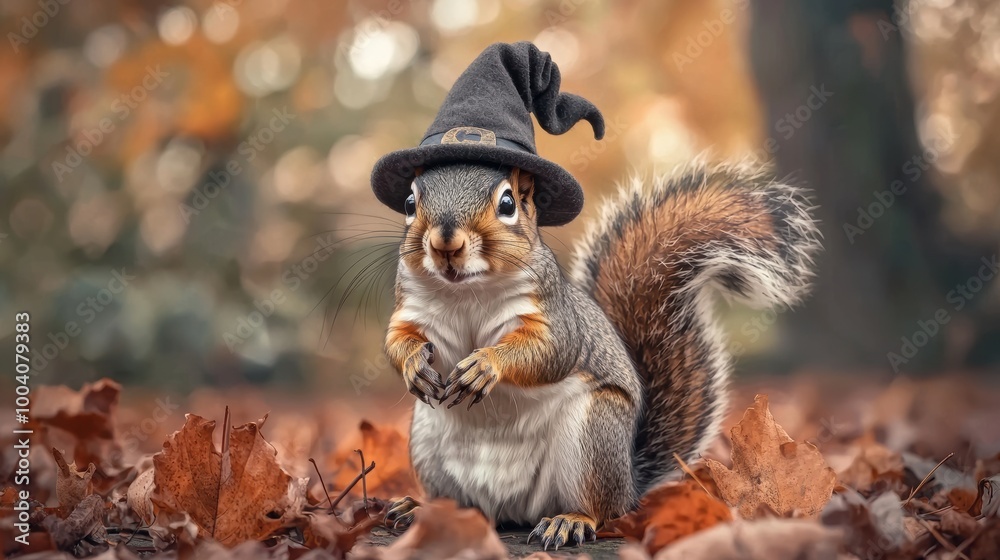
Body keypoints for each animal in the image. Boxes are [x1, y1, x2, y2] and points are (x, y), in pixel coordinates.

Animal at [380, 160, 821, 549]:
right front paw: (414, 365)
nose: (445, 243)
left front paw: (486, 365)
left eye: (507, 203)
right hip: (427, 442)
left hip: (594, 432)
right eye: (409, 202)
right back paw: (421, 508)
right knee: (463, 506)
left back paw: (570, 521)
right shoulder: (409, 309)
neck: (465, 291)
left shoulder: (555, 317)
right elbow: (396, 340)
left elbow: (551, 352)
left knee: (602, 510)